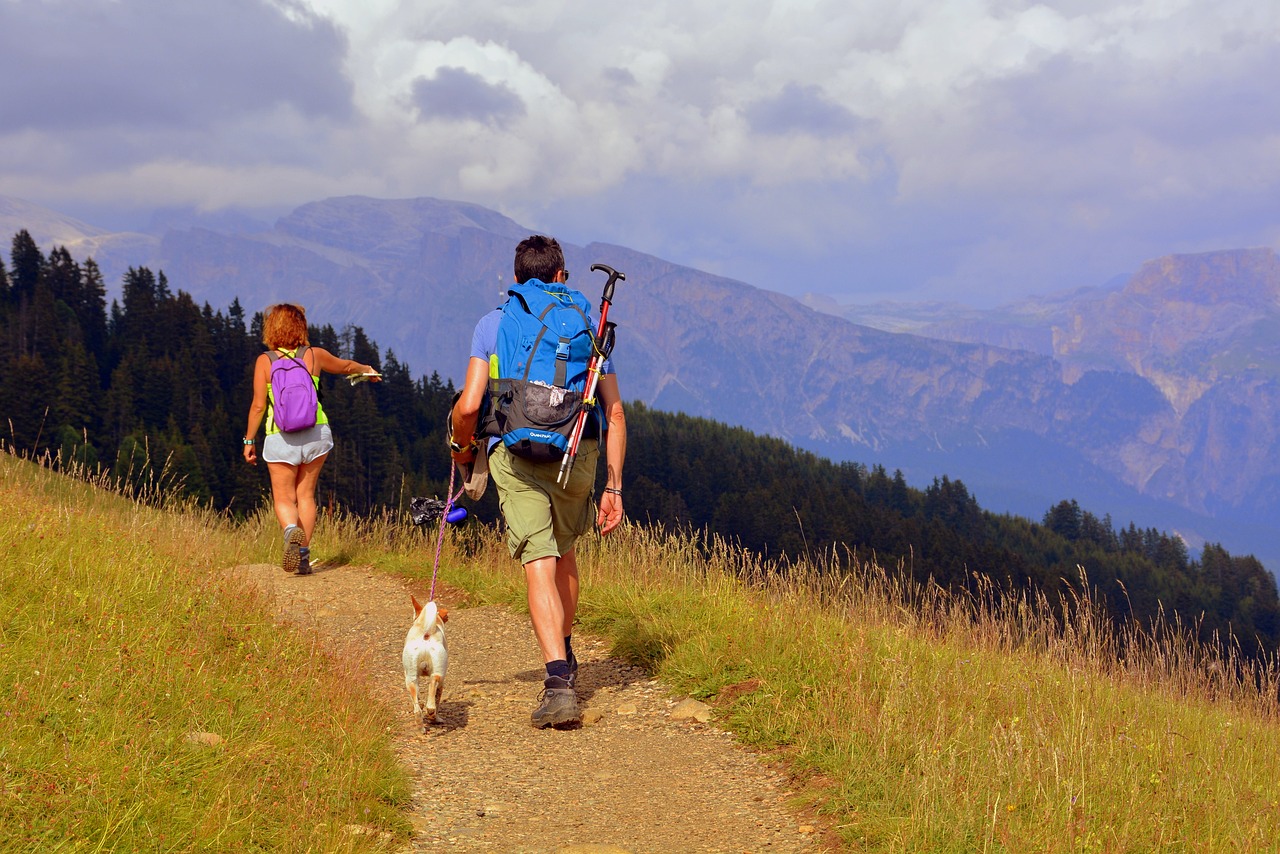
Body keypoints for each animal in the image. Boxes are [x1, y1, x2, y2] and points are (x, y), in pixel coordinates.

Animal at [409, 599, 455, 727]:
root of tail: (426, 635)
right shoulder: (442, 683)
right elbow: (437, 700)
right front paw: (436, 717)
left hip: (410, 678)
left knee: (416, 707)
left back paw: (420, 724)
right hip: (438, 673)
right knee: (433, 684)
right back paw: (431, 713)